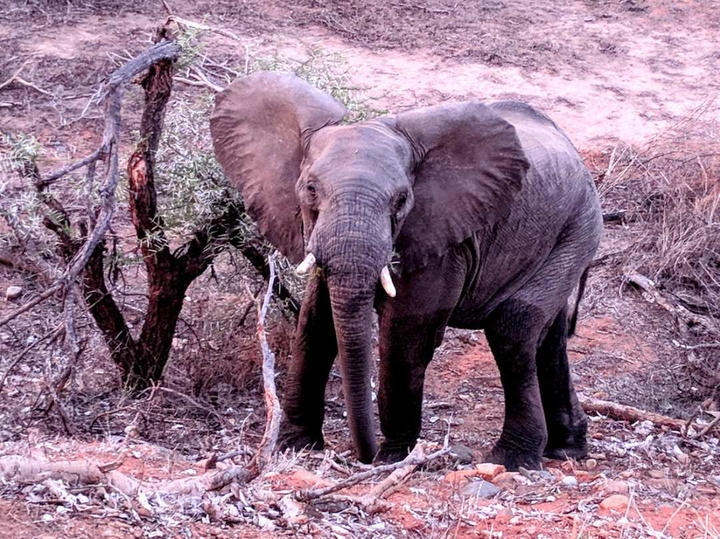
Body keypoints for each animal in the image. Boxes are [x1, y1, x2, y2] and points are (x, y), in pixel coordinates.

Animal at [210, 71, 603, 471]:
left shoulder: (441, 237)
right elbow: (315, 326)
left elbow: (406, 334)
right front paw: (296, 447)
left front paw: (392, 457)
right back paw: (565, 450)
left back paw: (514, 460)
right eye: (310, 189)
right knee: (549, 335)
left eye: (401, 201)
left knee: (514, 328)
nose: (362, 455)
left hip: (579, 226)